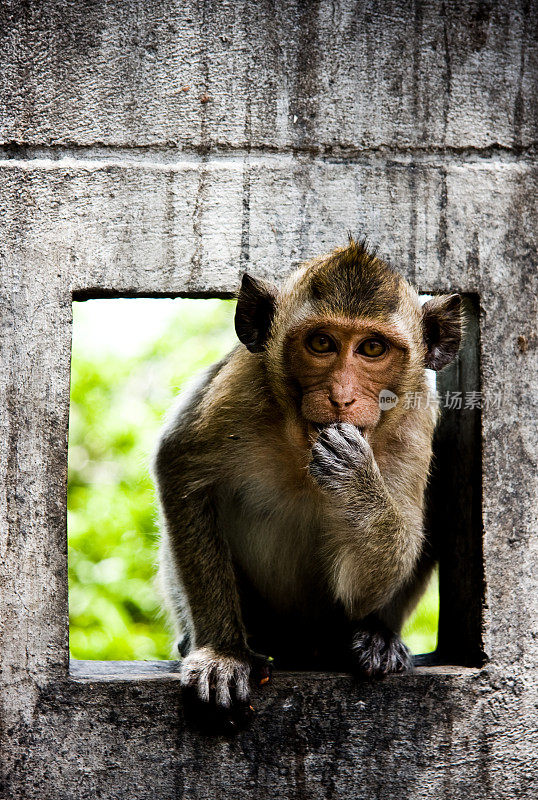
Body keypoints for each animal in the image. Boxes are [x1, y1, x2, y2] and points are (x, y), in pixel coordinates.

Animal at [152, 236, 460, 724]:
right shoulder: (239, 389)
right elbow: (182, 470)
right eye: (321, 343)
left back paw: (377, 637)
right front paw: (223, 652)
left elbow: (387, 560)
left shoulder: (414, 424)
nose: (341, 397)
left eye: (373, 349)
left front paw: (357, 482)